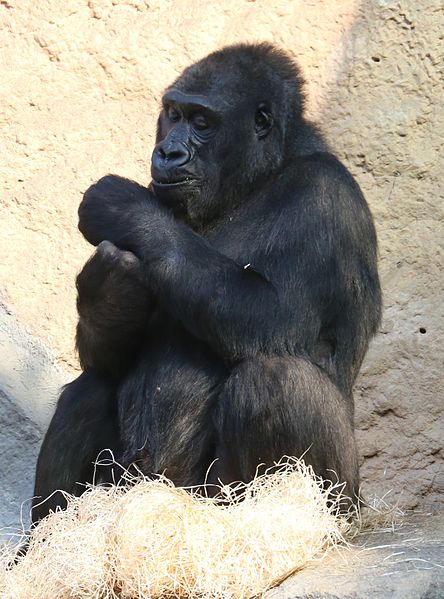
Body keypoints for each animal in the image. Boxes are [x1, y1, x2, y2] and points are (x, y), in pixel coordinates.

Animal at [32, 42, 382, 524]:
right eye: (173, 114)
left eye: (202, 122)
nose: (169, 152)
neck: (263, 174)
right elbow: (109, 356)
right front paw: (109, 294)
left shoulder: (324, 197)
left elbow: (275, 316)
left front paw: (126, 211)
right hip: (131, 485)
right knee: (91, 387)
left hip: (337, 501)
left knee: (273, 380)